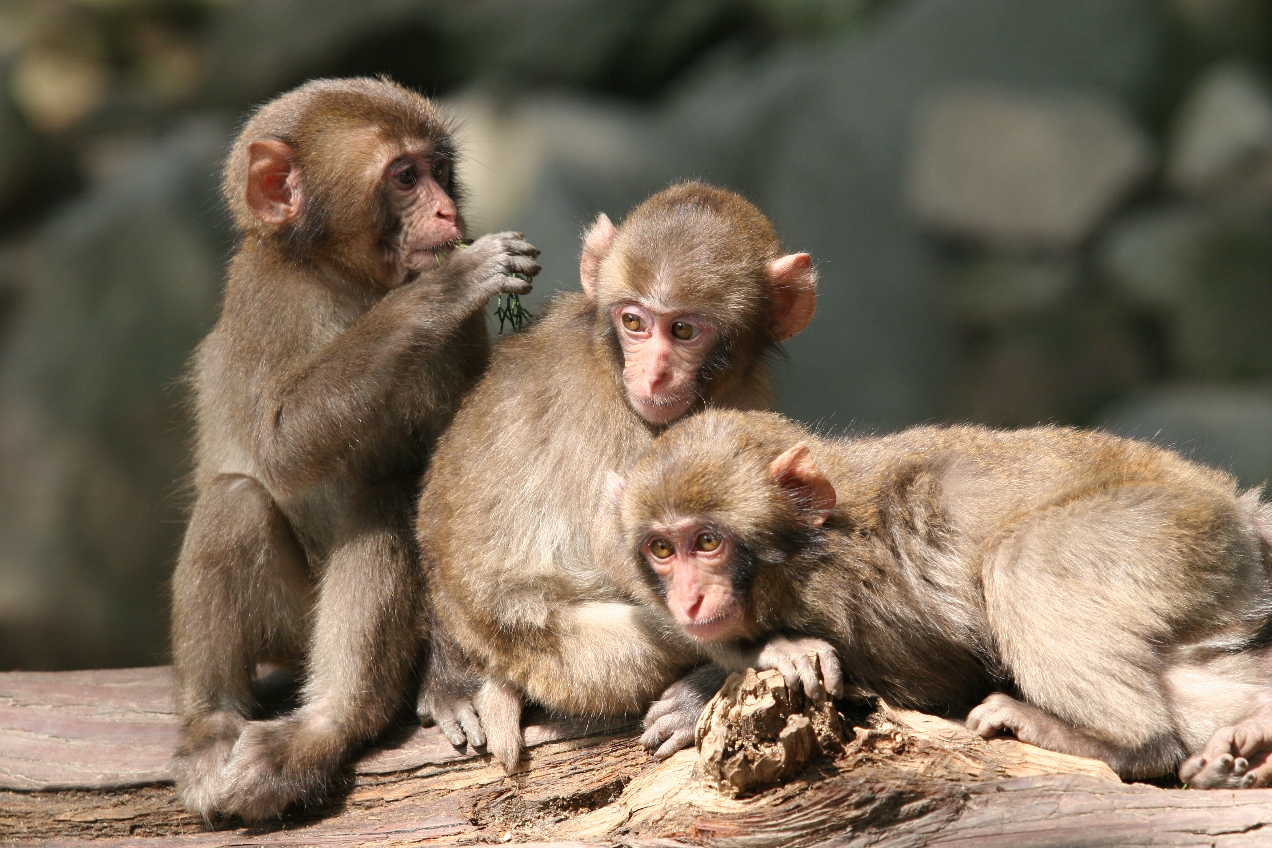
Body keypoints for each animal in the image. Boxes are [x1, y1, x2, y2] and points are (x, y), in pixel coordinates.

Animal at [169, 79, 536, 823]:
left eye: (440, 169)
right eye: (405, 178)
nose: (449, 210)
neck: (349, 281)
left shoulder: (461, 342)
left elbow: (453, 489)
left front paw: (454, 683)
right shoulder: (265, 299)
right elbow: (280, 446)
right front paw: (447, 286)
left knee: (385, 496)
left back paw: (328, 724)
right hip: (289, 623)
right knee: (236, 501)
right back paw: (220, 724)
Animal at [417, 183, 814, 772]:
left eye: (683, 329)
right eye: (634, 323)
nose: (652, 373)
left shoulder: (744, 389)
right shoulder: (610, 412)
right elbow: (621, 546)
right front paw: (762, 652)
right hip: (558, 659)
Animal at [610, 411, 1272, 788]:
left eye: (707, 542)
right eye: (662, 550)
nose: (689, 600)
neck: (808, 549)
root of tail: (1237, 510)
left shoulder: (859, 605)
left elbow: (928, 687)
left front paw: (771, 656)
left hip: (1171, 530)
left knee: (1023, 560)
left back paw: (1124, 744)